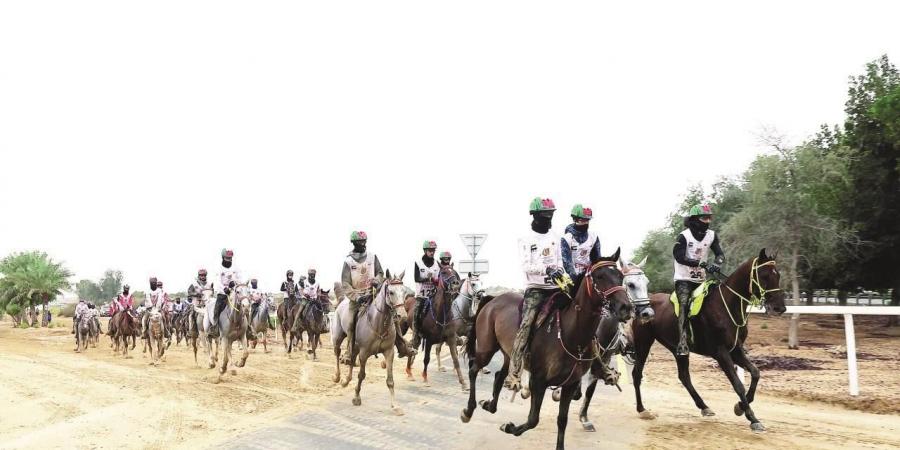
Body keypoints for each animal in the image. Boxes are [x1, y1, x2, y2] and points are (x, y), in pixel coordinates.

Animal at [330, 268, 408, 414]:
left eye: (405, 292)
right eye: (391, 292)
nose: (402, 316)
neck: (378, 323)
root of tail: (342, 301)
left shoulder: (389, 352)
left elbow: (390, 380)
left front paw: (395, 405)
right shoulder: (364, 353)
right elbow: (361, 375)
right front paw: (356, 397)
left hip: (354, 347)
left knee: (351, 360)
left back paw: (346, 380)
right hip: (338, 337)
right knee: (337, 353)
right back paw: (337, 377)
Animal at [460, 250, 628, 450]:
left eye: (620, 276)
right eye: (599, 276)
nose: (626, 307)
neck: (571, 335)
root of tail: (493, 299)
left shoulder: (570, 385)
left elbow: (562, 420)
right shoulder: (538, 381)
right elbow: (533, 420)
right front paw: (508, 427)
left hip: (510, 354)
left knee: (500, 375)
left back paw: (490, 405)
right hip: (486, 348)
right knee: (473, 370)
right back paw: (468, 411)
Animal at [628, 250, 784, 432]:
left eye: (778, 275)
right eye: (764, 275)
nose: (780, 307)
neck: (726, 307)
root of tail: (644, 306)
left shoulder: (735, 350)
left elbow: (756, 373)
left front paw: (740, 407)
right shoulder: (721, 352)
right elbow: (738, 384)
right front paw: (752, 418)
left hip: (678, 349)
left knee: (684, 377)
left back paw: (704, 406)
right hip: (643, 343)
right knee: (637, 374)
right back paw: (642, 409)